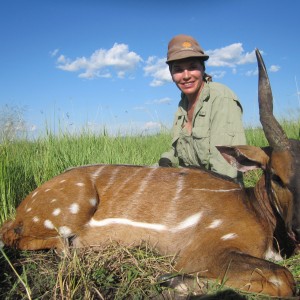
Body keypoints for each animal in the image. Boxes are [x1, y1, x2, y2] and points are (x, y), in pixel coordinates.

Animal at [0, 49, 298, 298]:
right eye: (276, 176)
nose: (297, 227)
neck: (257, 210)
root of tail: (24, 205)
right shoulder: (205, 251)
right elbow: (285, 279)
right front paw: (175, 282)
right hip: (73, 207)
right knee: (20, 236)